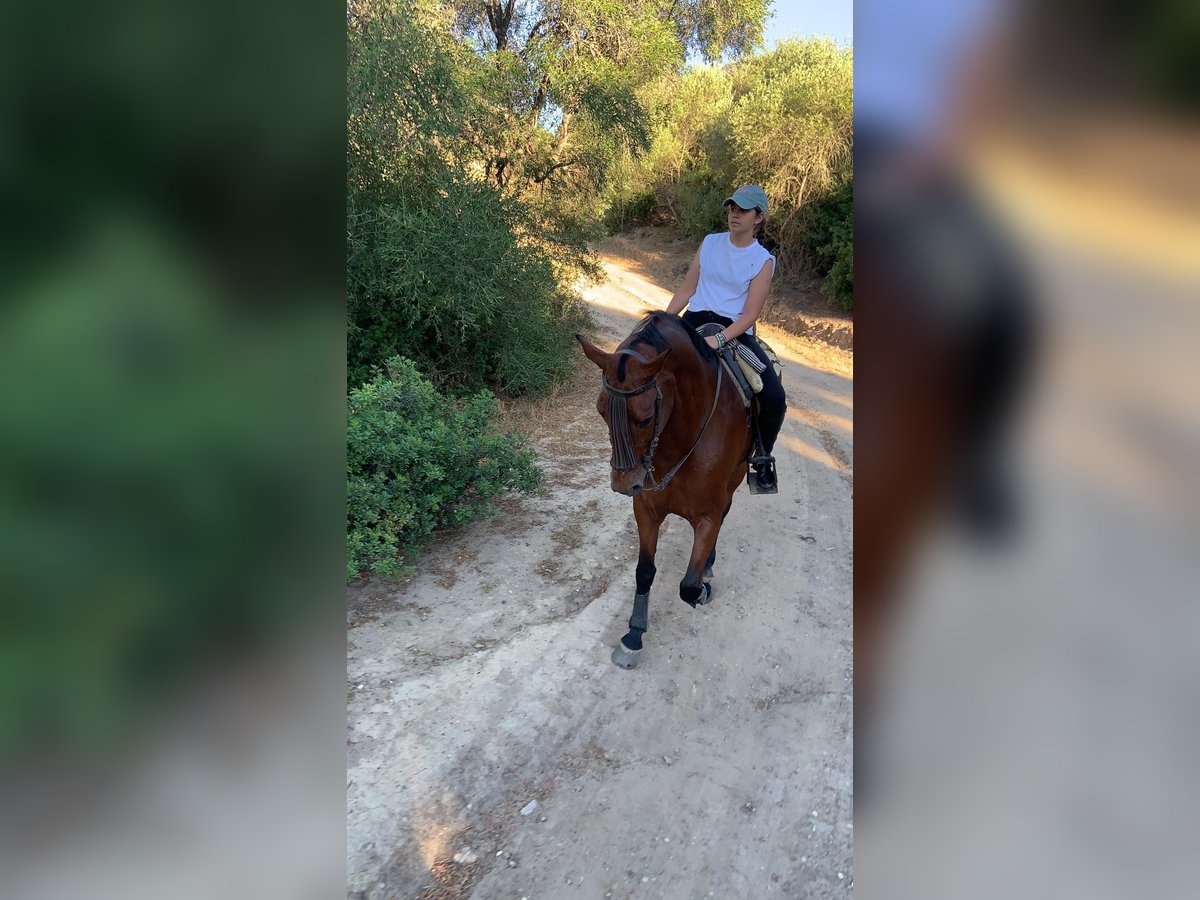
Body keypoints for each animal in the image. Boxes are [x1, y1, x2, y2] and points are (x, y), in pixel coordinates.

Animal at [573, 314, 748, 667]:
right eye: (600, 411)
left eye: (645, 418)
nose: (623, 484)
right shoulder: (646, 510)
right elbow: (644, 572)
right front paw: (633, 635)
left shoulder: (708, 516)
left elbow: (689, 587)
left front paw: (703, 587)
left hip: (736, 478)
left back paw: (709, 564)